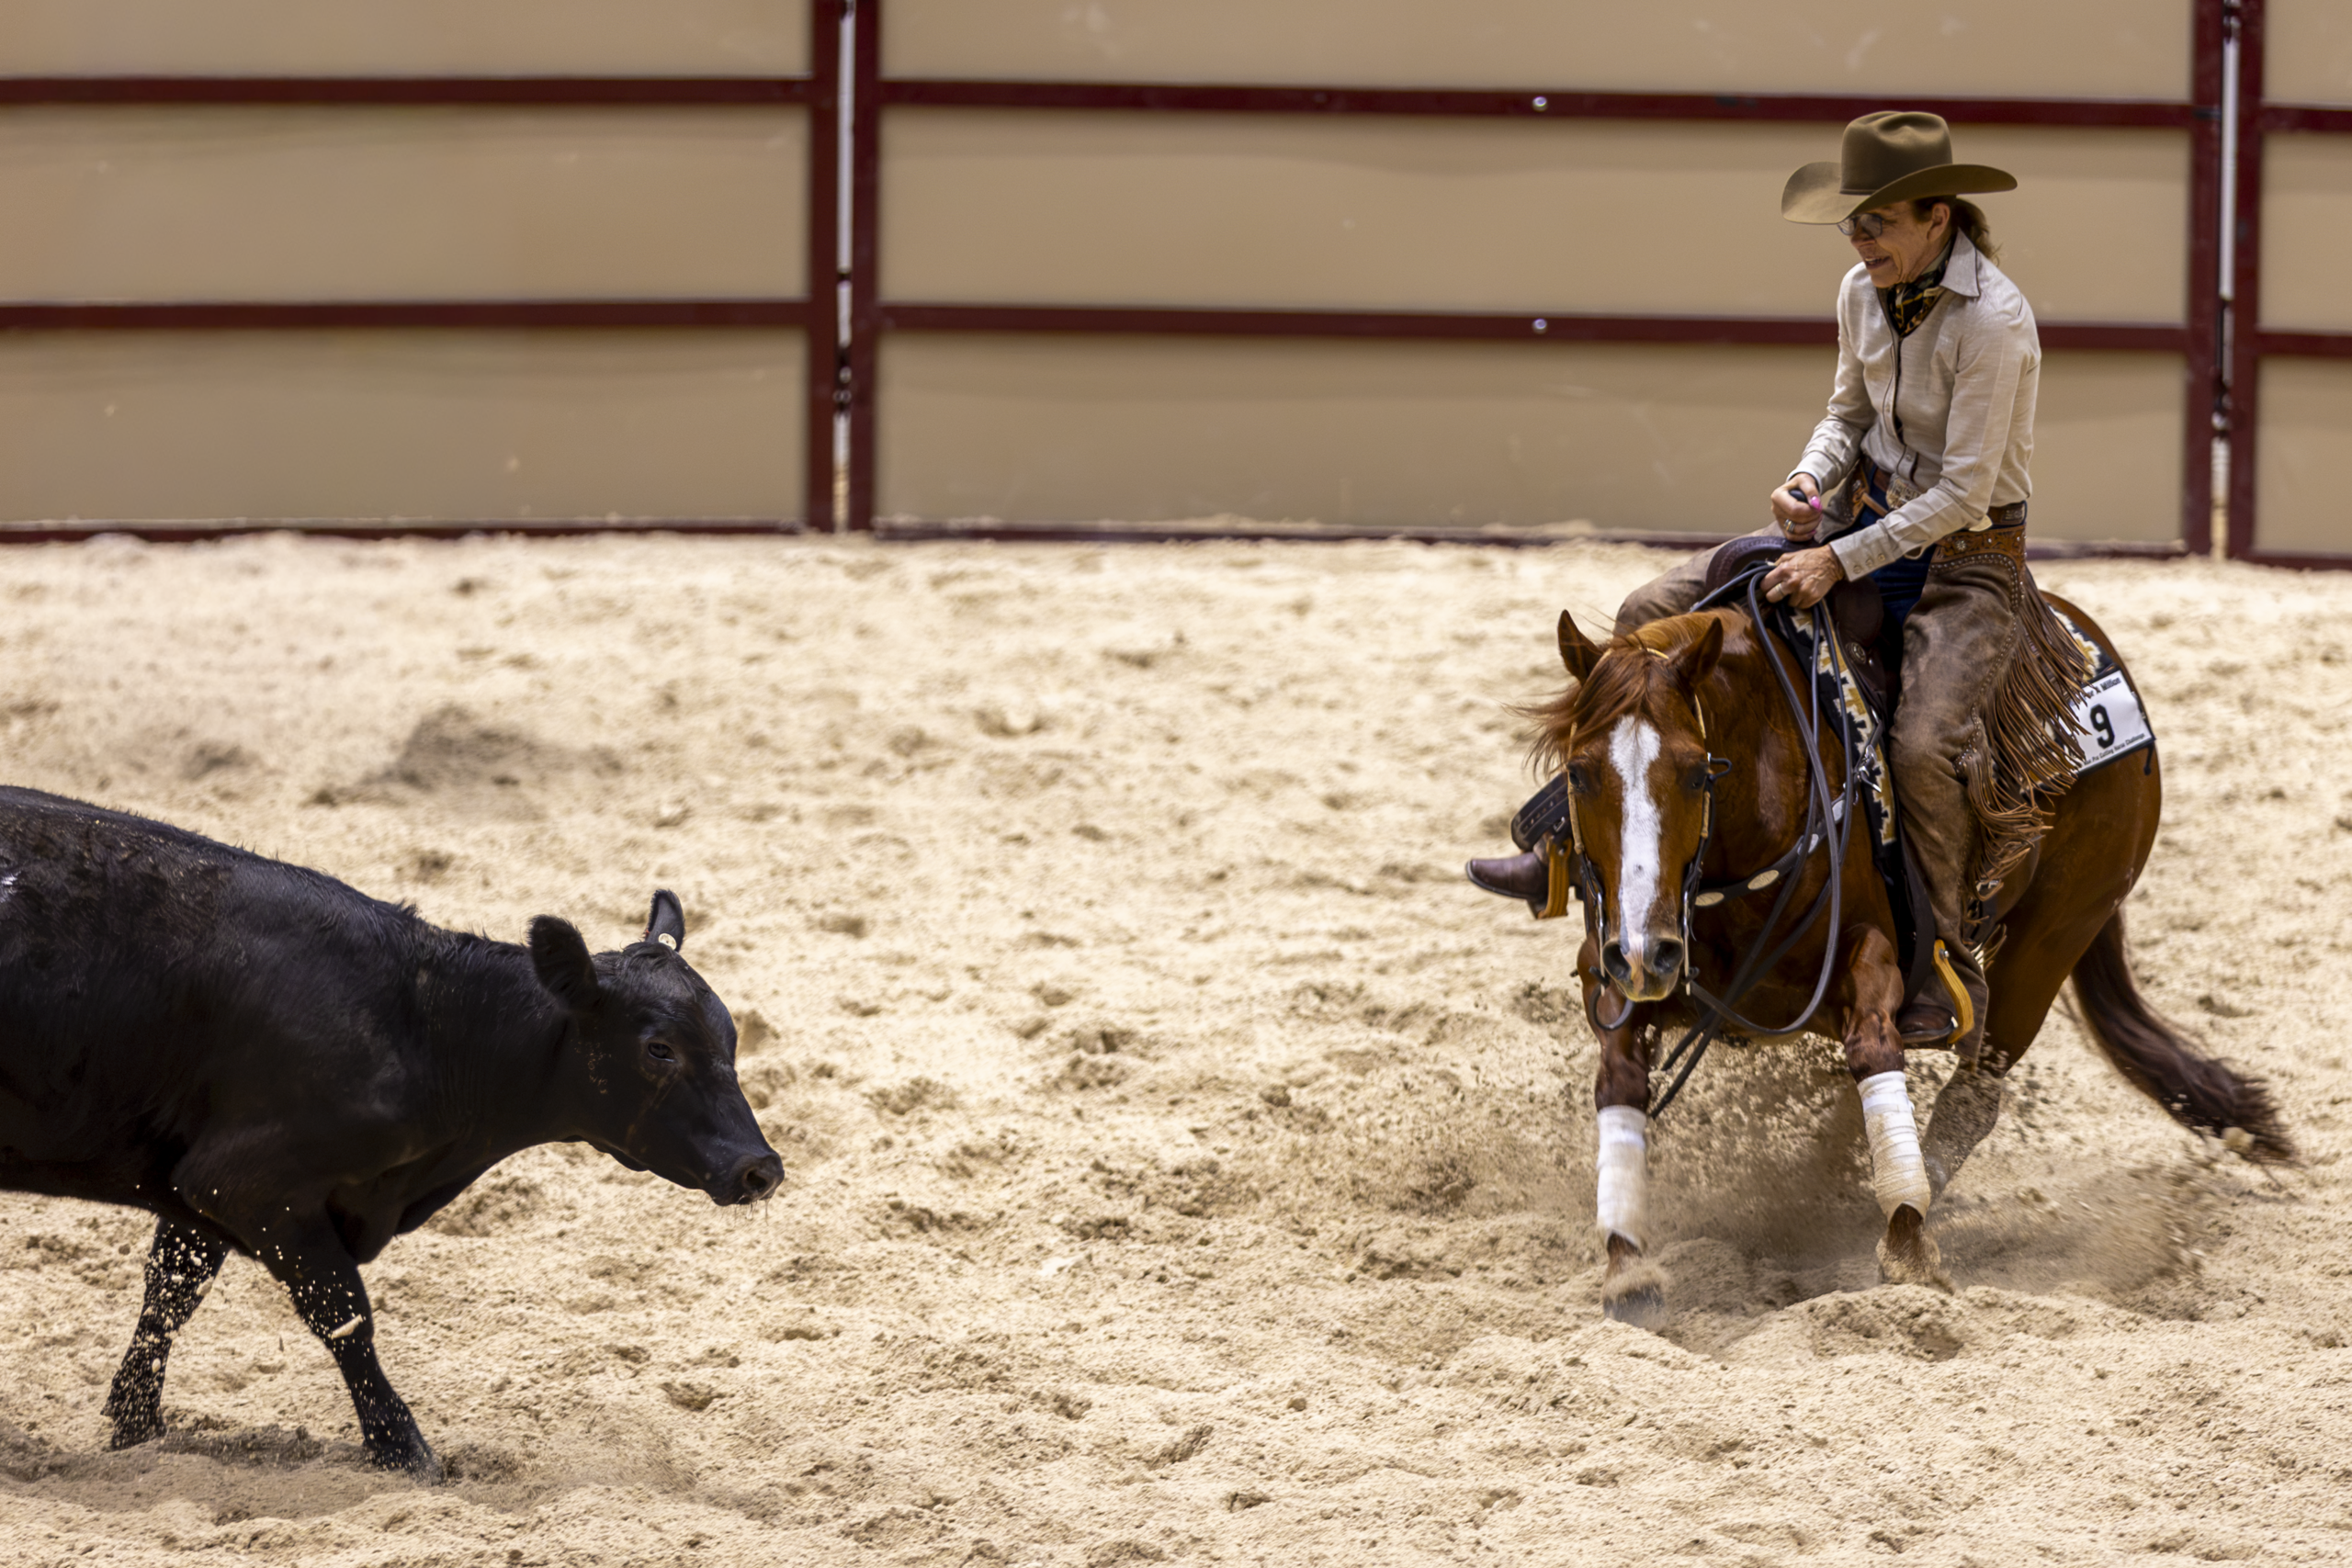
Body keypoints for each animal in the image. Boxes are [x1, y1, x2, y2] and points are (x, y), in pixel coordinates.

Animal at [0, 785, 781, 1479]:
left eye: (732, 1035)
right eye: (659, 1048)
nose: (760, 1167)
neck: (422, 1020)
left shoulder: (194, 1183)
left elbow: (170, 1293)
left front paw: (136, 1427)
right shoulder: (247, 1183)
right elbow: (344, 1317)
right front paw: (401, 1447)